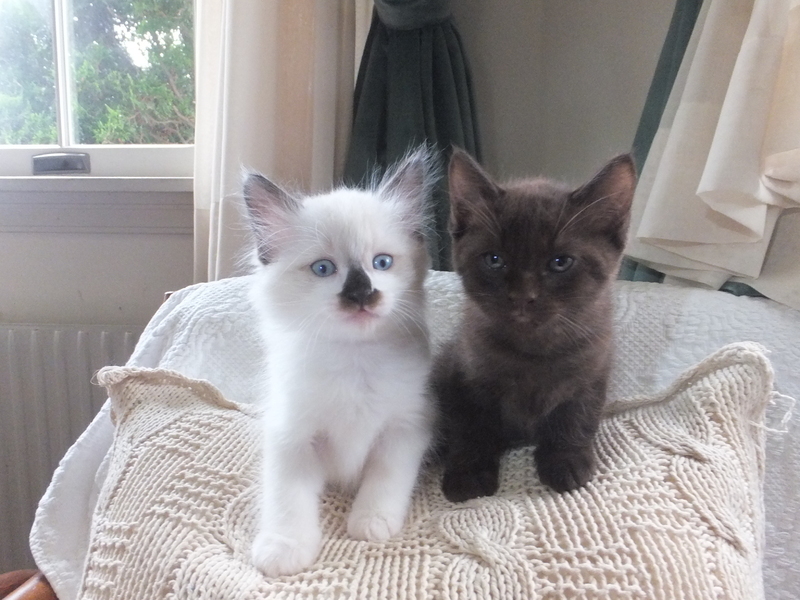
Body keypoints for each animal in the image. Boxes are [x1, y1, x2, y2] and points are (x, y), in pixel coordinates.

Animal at [243, 148, 438, 577]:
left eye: (382, 263)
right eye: (323, 269)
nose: (362, 293)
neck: (354, 360)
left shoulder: (404, 428)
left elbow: (385, 480)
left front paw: (372, 522)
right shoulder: (292, 437)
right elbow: (287, 500)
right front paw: (283, 550)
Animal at [431, 148, 635, 503]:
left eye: (560, 262)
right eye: (494, 260)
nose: (522, 297)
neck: (533, 350)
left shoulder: (592, 371)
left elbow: (577, 417)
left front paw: (566, 460)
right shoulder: (462, 374)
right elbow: (470, 427)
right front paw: (469, 473)